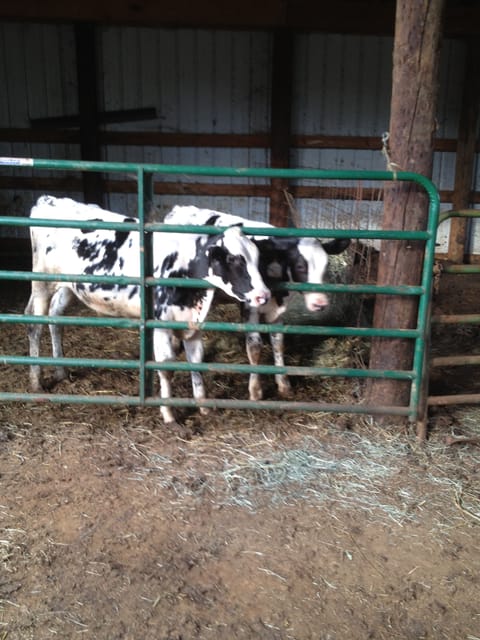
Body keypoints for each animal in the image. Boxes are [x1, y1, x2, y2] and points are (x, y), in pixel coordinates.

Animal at [25, 195, 271, 426]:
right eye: (233, 259)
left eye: (257, 258)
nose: (264, 294)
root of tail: (48, 200)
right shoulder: (161, 325)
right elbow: (166, 368)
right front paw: (169, 415)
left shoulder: (192, 323)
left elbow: (197, 362)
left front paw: (204, 407)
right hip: (42, 284)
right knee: (34, 325)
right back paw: (36, 381)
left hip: (67, 287)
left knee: (54, 318)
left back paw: (60, 371)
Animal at [165, 205, 350, 401]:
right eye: (301, 266)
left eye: (326, 265)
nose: (319, 303)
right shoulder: (250, 308)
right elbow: (254, 347)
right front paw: (255, 391)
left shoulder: (277, 310)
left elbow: (278, 342)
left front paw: (284, 384)